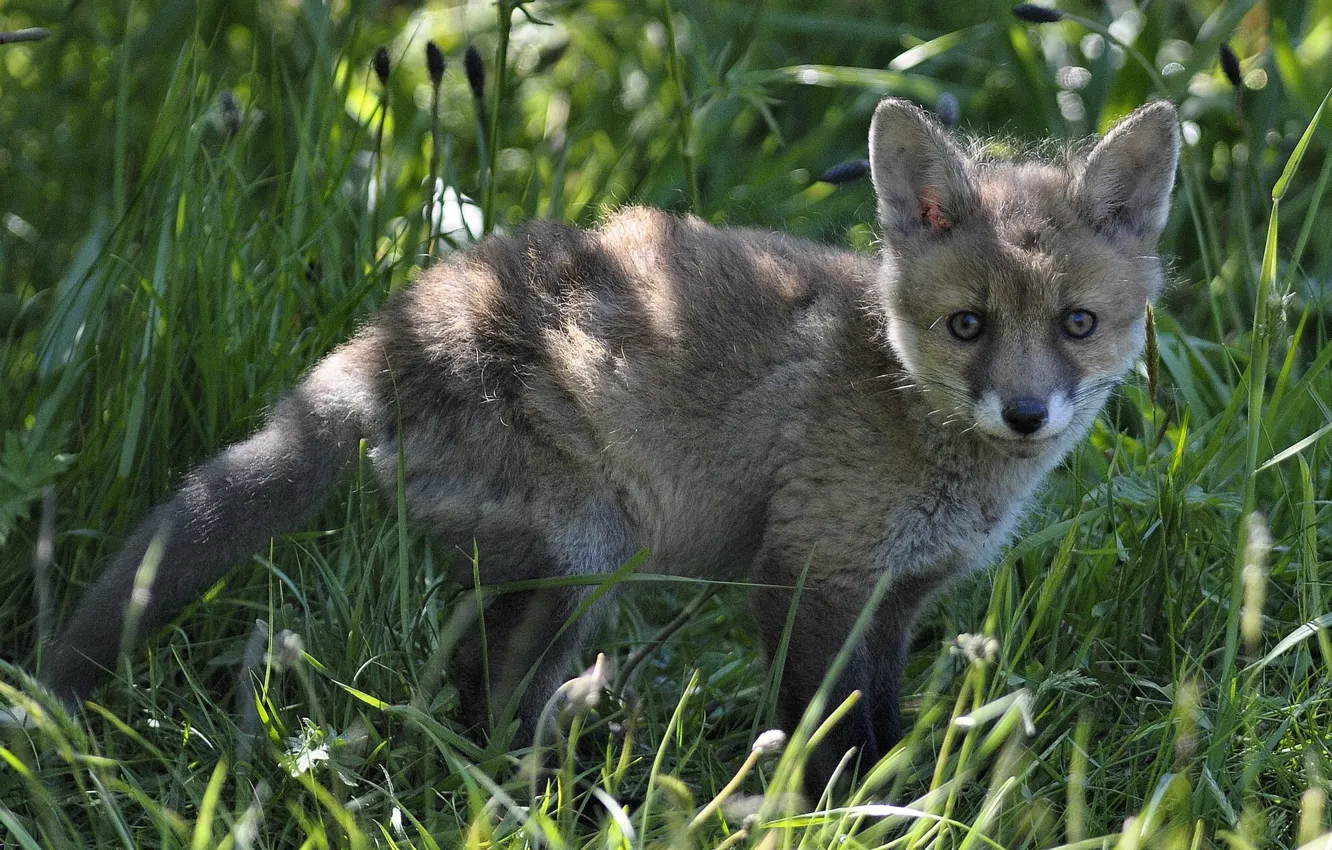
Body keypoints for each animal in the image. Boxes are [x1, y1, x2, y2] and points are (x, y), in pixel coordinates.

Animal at [40, 97, 1179, 791]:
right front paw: (840, 812)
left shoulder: (896, 598)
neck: (900, 395)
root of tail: (390, 336)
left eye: (1077, 324)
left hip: (563, 572)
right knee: (489, 695)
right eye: (969, 325)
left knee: (484, 686)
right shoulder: (807, 572)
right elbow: (828, 733)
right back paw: (546, 797)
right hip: (589, 550)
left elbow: (879, 723)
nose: (1025, 413)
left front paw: (893, 803)